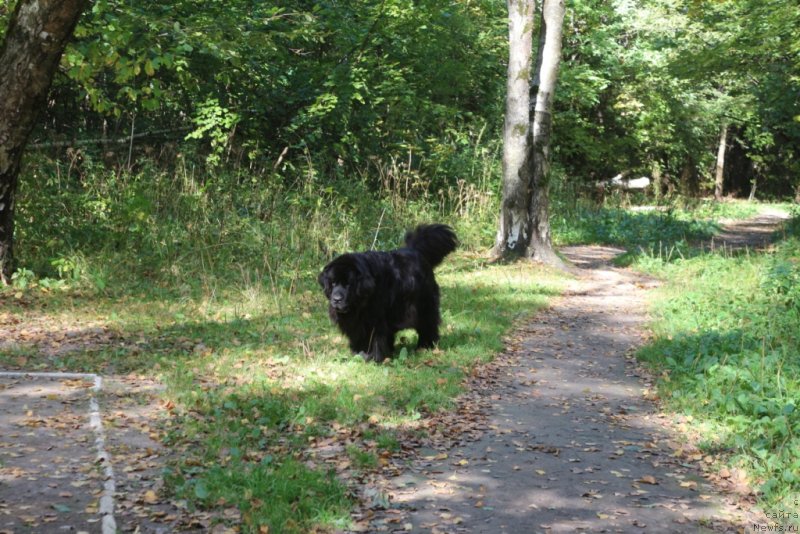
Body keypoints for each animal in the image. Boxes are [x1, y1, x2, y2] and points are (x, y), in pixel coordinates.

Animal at [318, 224, 456, 362]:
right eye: (333, 283)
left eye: (348, 284)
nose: (336, 299)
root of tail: (416, 251)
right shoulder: (358, 323)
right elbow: (360, 337)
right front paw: (358, 353)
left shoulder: (376, 319)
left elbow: (376, 338)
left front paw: (375, 357)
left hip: (423, 305)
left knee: (428, 324)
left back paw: (426, 345)